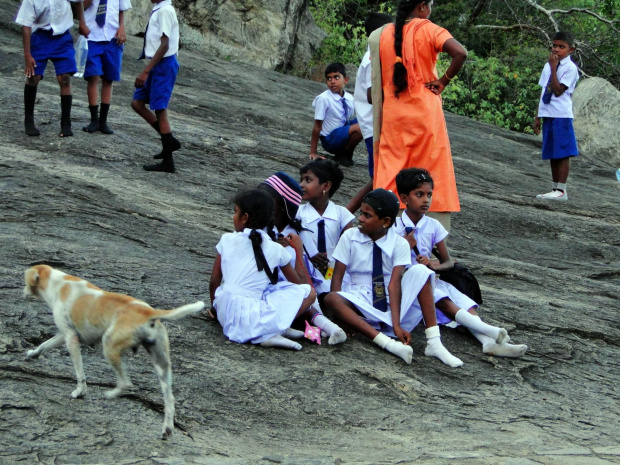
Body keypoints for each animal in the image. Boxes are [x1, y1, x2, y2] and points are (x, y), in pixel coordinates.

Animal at [23, 264, 203, 438]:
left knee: (125, 383)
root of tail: (148, 312)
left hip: (109, 345)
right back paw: (167, 428)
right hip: (161, 364)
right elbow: (44, 345)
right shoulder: (62, 335)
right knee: (169, 399)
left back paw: (111, 394)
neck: (58, 283)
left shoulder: (71, 338)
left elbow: (80, 373)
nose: (23, 292)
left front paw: (80, 392)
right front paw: (33, 354)